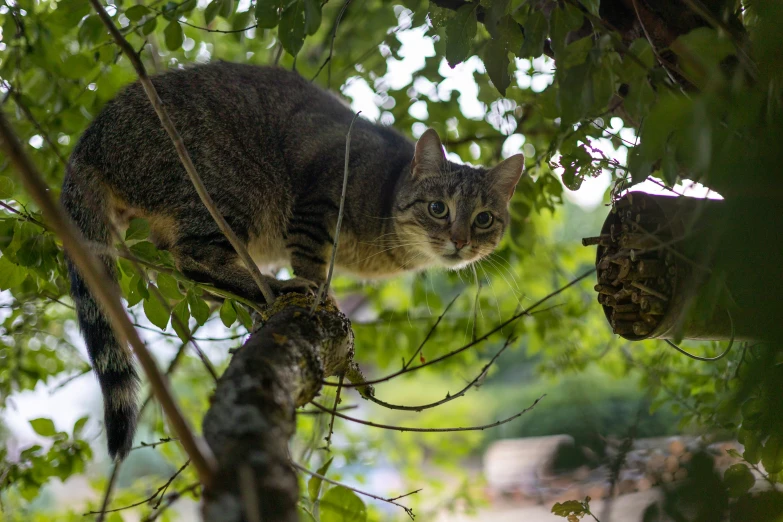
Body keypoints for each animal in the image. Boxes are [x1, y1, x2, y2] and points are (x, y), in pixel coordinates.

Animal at [61, 62, 528, 460]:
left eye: (484, 219)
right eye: (438, 209)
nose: (460, 240)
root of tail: (87, 141)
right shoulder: (317, 204)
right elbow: (311, 260)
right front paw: (321, 295)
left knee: (182, 272)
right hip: (230, 190)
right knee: (193, 258)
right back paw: (275, 287)